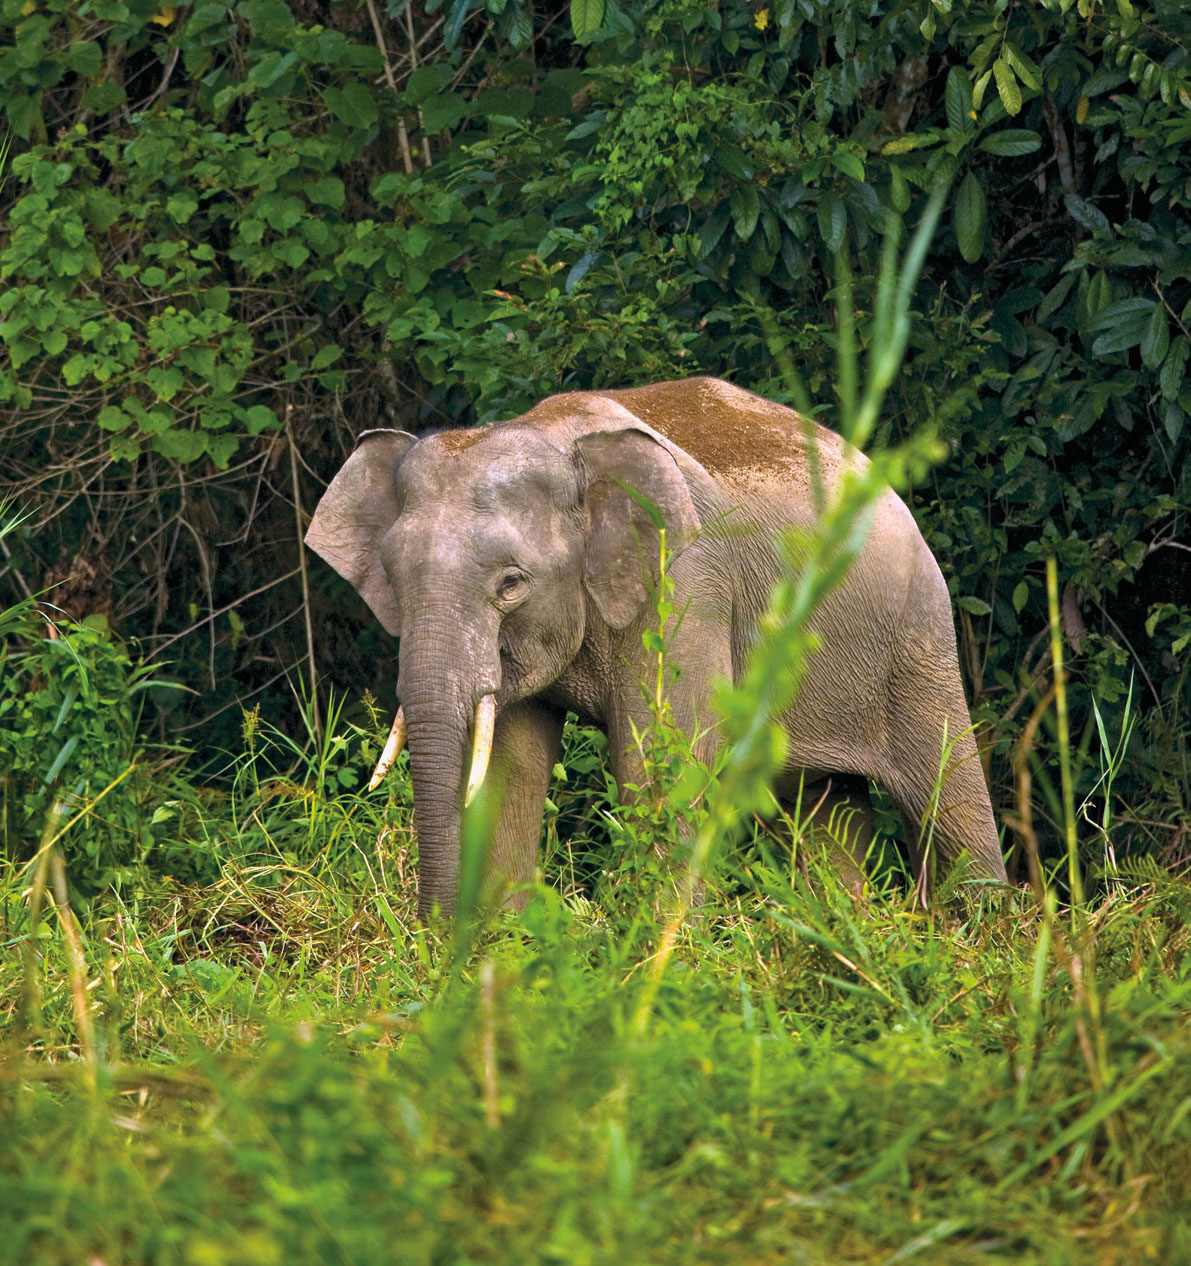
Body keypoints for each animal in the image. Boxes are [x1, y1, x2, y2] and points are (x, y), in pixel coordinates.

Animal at [306, 369, 1002, 916]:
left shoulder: (685, 586)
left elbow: (657, 761)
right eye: (391, 576)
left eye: (511, 583)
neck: (560, 439)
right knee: (822, 806)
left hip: (919, 632)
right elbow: (513, 765)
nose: (430, 934)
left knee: (946, 794)